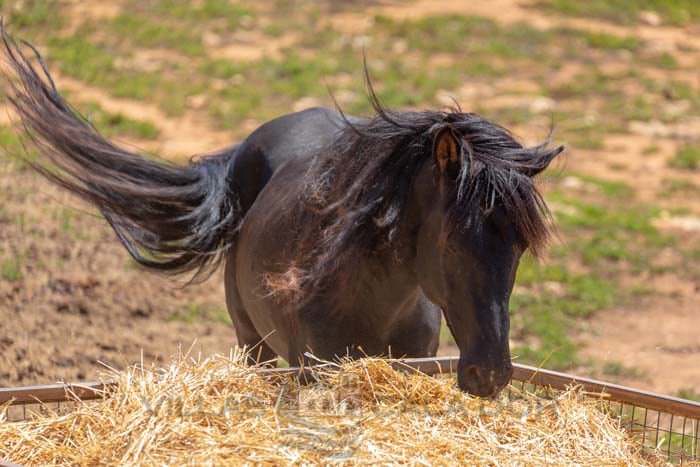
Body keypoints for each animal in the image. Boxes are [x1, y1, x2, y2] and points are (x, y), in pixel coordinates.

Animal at [1, 28, 564, 398]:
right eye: (451, 242)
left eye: (520, 246)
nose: (490, 375)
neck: (372, 297)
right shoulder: (310, 369)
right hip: (253, 344)